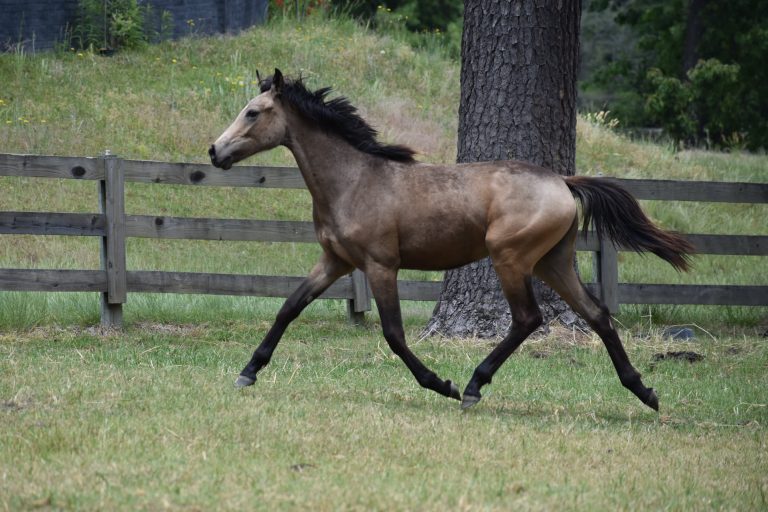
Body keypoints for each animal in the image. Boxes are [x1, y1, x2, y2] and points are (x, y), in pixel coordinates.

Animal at [207, 69, 692, 412]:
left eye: (253, 112)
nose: (215, 151)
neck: (354, 181)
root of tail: (562, 182)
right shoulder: (335, 262)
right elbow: (289, 307)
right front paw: (248, 371)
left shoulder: (380, 266)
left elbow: (394, 334)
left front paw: (441, 384)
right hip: (553, 262)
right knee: (598, 315)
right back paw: (644, 392)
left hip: (511, 258)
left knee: (528, 319)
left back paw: (474, 386)